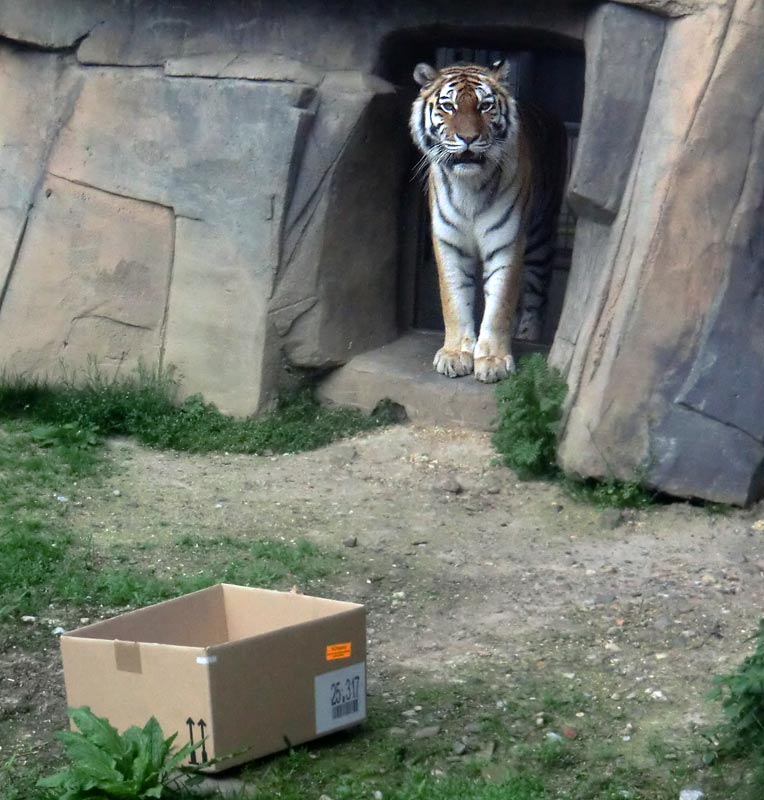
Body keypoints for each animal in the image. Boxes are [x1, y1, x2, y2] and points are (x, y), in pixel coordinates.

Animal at [412, 58, 568, 382]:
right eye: (448, 106)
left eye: (485, 106)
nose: (468, 138)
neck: (469, 186)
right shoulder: (449, 243)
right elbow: (453, 300)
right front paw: (455, 354)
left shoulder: (508, 242)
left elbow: (500, 305)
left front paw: (494, 360)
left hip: (540, 236)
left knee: (536, 294)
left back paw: (527, 335)